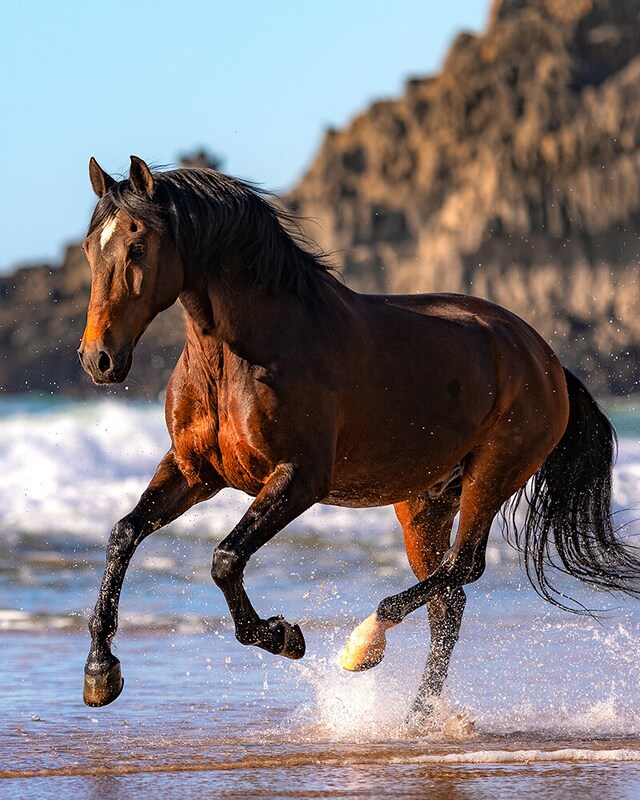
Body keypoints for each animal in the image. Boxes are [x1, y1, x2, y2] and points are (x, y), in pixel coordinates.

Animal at [78, 156, 640, 720]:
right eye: (89, 248)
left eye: (137, 246)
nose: (98, 359)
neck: (246, 352)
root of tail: (545, 358)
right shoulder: (193, 471)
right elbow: (123, 534)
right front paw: (101, 674)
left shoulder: (298, 479)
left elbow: (225, 559)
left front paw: (284, 637)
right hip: (425, 502)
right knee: (449, 602)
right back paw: (417, 719)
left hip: (493, 473)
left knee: (464, 567)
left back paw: (363, 645)